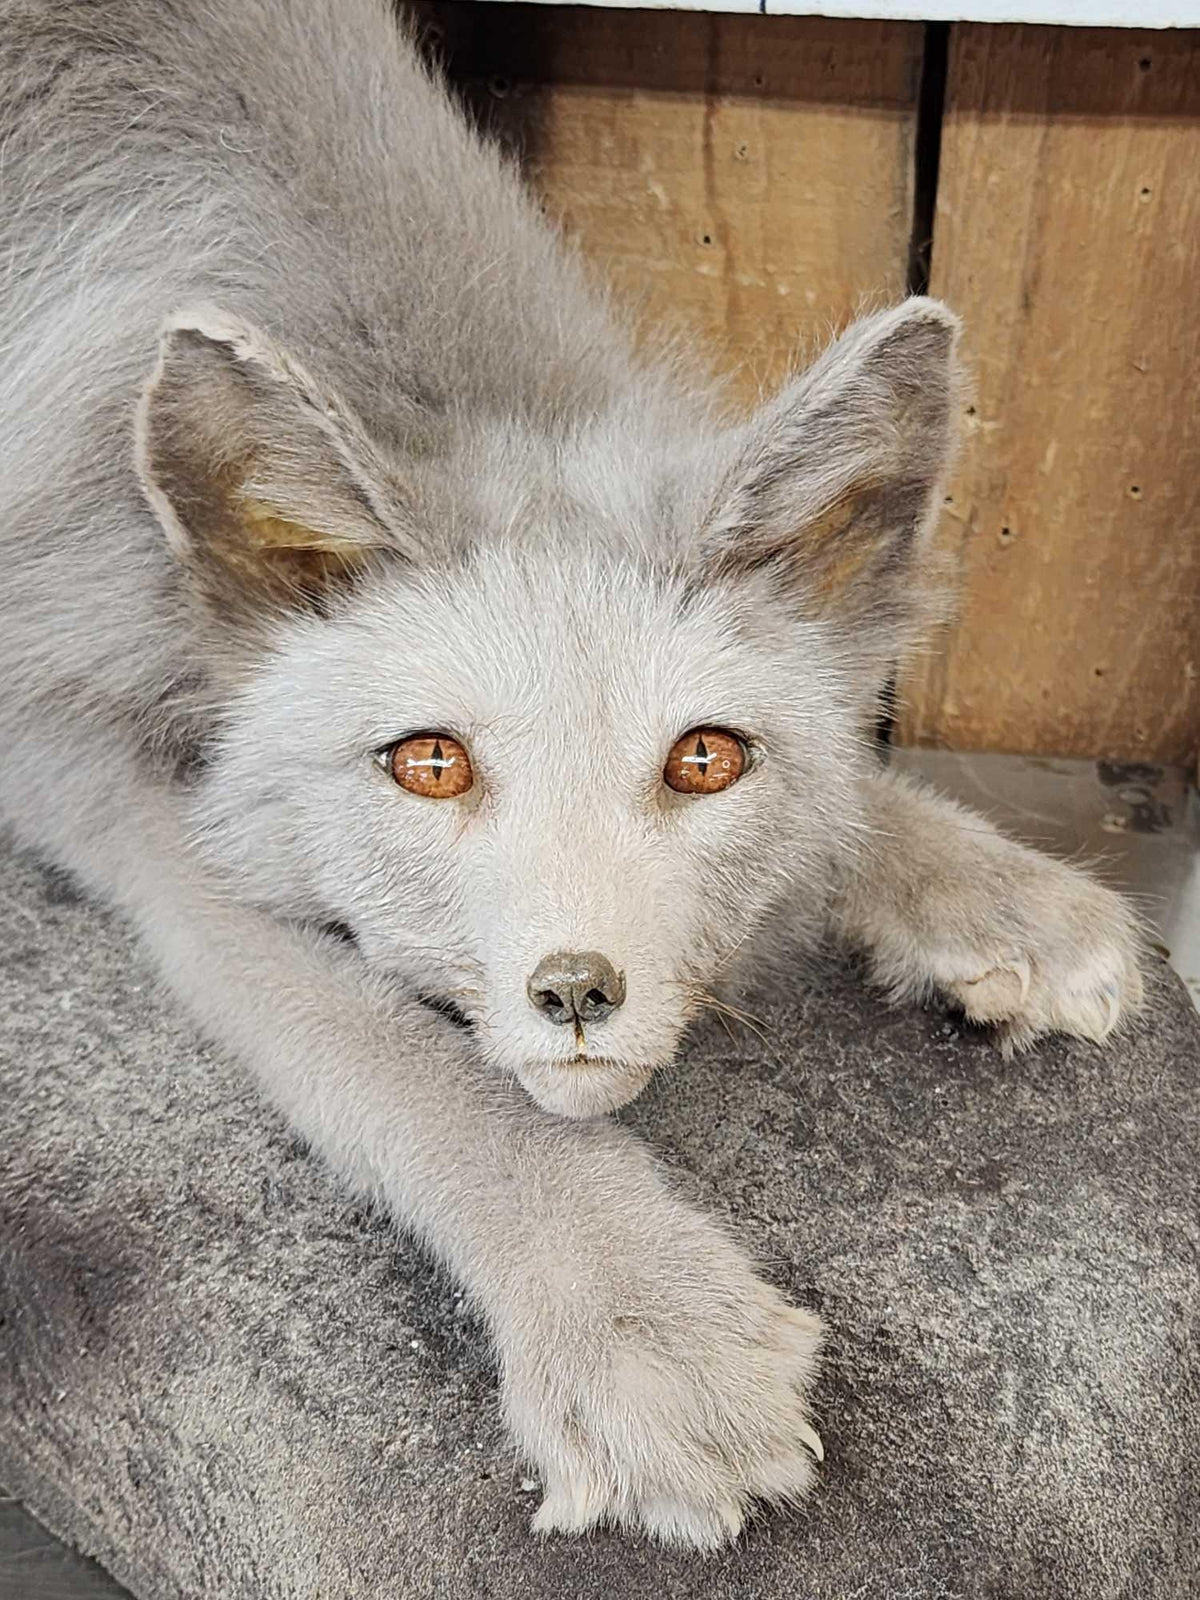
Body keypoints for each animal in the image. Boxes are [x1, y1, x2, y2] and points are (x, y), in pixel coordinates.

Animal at [0, 0, 1145, 1553]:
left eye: (706, 760)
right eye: (428, 763)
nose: (579, 993)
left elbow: (857, 793)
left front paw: (999, 895)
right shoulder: (91, 766)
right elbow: (403, 1058)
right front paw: (635, 1321)